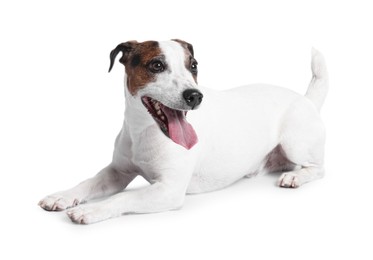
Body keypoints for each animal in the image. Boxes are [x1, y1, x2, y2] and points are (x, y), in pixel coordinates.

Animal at [39, 38, 326, 223]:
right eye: (156, 65)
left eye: (194, 66)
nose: (194, 96)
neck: (143, 130)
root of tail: (306, 99)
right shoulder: (117, 172)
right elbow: (87, 183)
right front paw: (62, 196)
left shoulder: (168, 190)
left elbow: (123, 198)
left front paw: (91, 210)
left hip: (295, 142)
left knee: (318, 168)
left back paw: (295, 177)